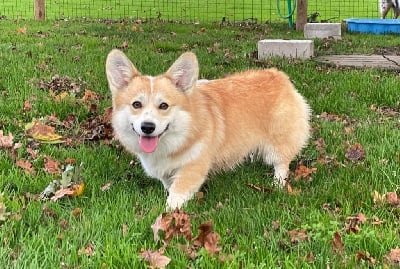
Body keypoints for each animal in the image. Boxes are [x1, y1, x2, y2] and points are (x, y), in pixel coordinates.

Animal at [104, 50, 310, 209]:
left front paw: (167, 217)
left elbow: (176, 196)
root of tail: (279, 75)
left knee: (281, 162)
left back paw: (277, 184)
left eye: (164, 106)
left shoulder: (192, 169)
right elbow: (169, 186)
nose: (147, 127)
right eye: (136, 104)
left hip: (279, 140)